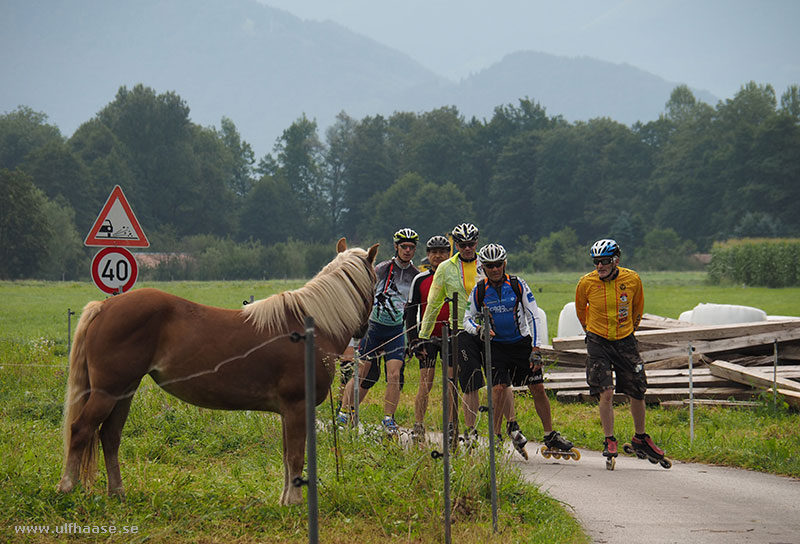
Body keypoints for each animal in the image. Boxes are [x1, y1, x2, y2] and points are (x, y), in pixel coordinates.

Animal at [57, 239, 380, 506]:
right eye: (376, 283)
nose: (365, 330)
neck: (310, 327)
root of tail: (104, 306)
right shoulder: (297, 406)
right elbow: (296, 455)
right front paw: (296, 502)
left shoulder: (288, 411)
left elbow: (288, 454)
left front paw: (285, 499)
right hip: (107, 392)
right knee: (81, 429)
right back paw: (67, 487)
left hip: (124, 392)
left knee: (110, 436)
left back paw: (117, 492)